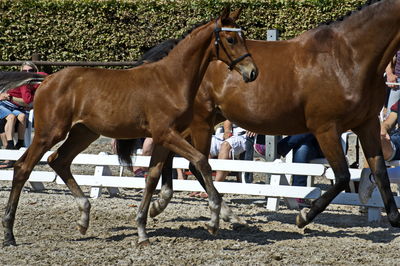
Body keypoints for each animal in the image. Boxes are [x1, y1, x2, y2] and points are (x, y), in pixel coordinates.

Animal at [1, 8, 258, 247]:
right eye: (231, 39)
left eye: (242, 36)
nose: (252, 72)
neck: (172, 80)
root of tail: (45, 80)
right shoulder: (167, 134)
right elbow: (201, 161)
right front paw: (214, 220)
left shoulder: (164, 137)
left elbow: (152, 177)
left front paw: (143, 231)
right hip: (50, 133)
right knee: (23, 167)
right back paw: (9, 234)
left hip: (84, 133)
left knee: (59, 161)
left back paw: (84, 218)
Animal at [146, 0, 400, 231]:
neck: (347, 57)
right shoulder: (326, 128)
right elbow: (343, 176)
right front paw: (304, 217)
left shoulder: (367, 125)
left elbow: (380, 172)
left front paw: (395, 218)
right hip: (201, 121)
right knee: (195, 162)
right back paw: (219, 213)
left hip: (203, 120)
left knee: (175, 153)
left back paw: (166, 203)